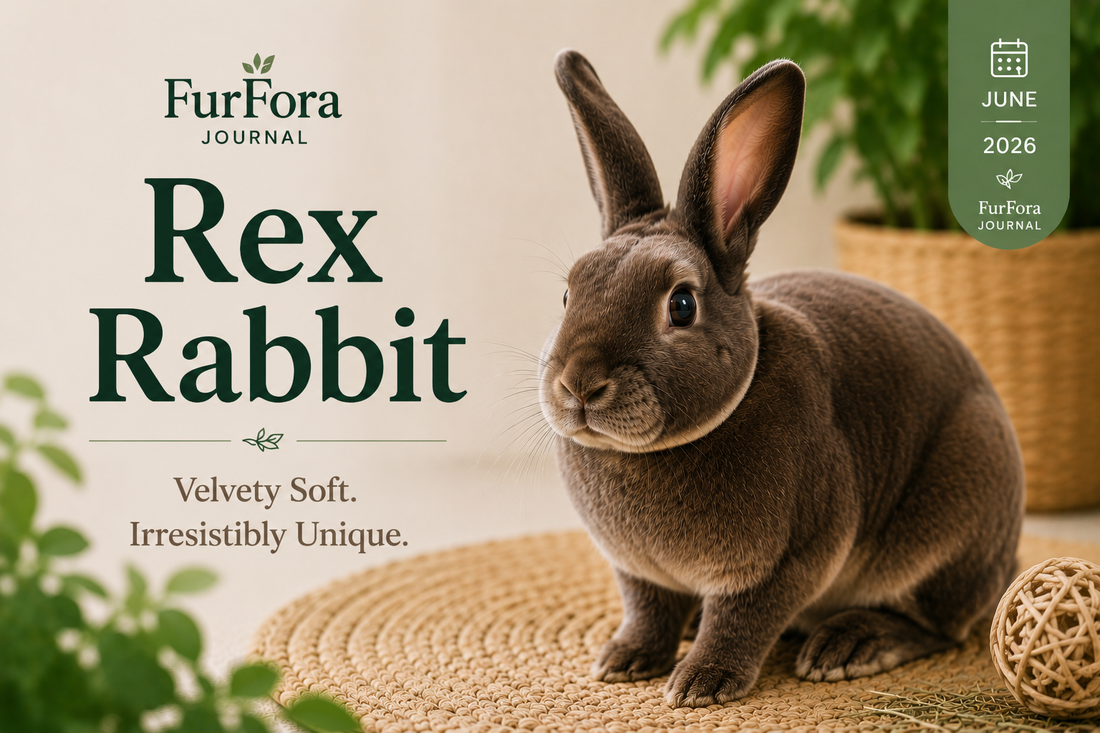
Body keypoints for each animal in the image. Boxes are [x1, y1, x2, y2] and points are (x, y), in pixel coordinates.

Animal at [538, 50, 1024, 708]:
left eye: (682, 305)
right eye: (568, 295)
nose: (578, 385)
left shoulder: (789, 558)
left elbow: (743, 619)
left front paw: (701, 683)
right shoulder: (638, 573)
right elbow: (648, 612)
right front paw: (624, 659)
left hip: (956, 513)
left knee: (935, 624)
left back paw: (850, 644)